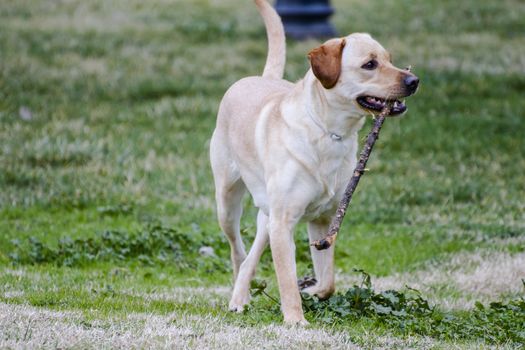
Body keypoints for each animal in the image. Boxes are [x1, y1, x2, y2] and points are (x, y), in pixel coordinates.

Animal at [209, 0, 418, 326]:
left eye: (389, 59)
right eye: (369, 64)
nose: (414, 81)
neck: (329, 133)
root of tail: (264, 78)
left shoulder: (323, 222)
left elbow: (328, 280)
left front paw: (312, 290)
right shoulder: (284, 223)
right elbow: (285, 278)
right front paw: (296, 321)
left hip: (267, 216)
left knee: (253, 253)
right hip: (228, 202)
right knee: (238, 251)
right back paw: (238, 297)